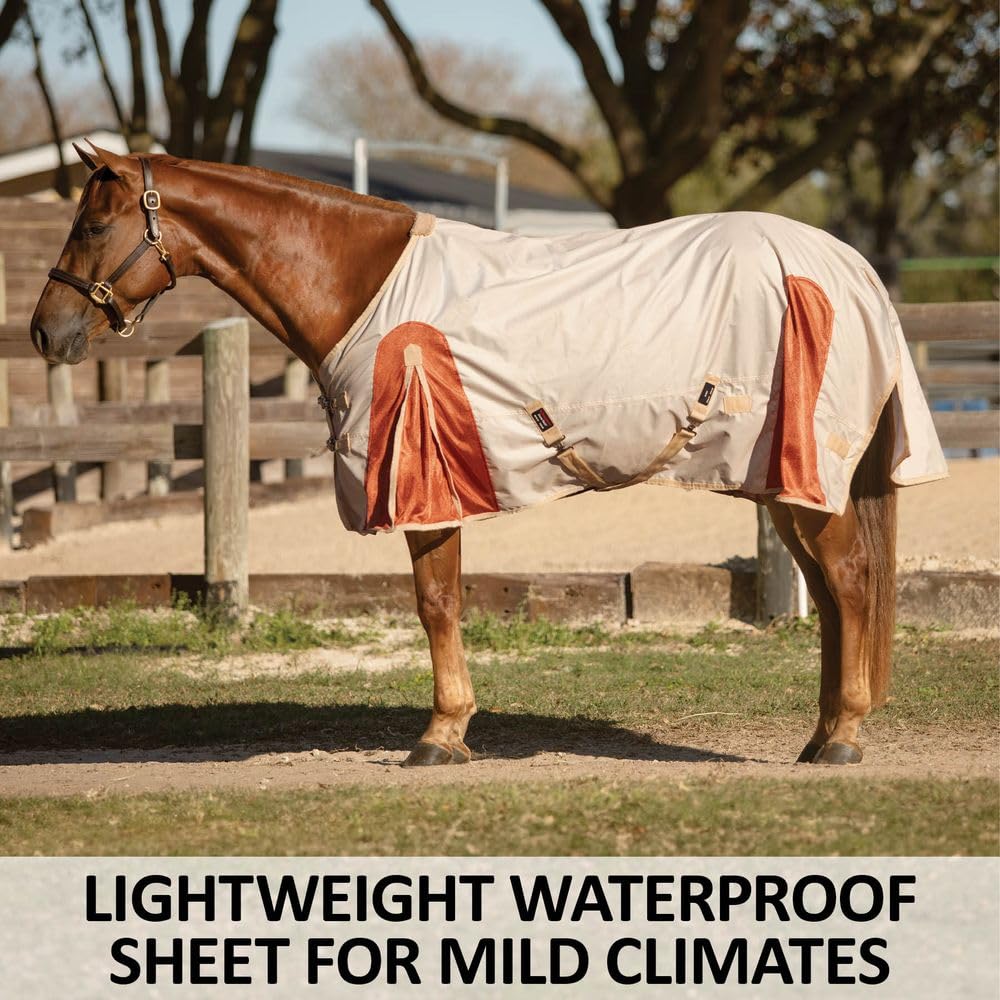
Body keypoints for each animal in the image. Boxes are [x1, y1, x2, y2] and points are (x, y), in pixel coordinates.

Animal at [30, 143, 946, 767]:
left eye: (94, 223)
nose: (46, 331)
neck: (364, 287)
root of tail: (849, 267)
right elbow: (445, 604)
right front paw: (451, 729)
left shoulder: (421, 485)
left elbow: (436, 605)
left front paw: (441, 734)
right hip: (789, 485)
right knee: (832, 595)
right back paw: (820, 735)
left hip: (805, 480)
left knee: (851, 582)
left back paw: (841, 737)